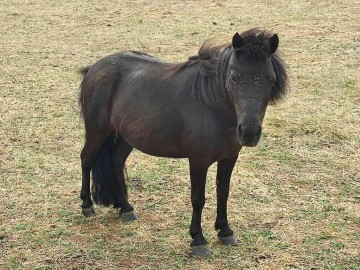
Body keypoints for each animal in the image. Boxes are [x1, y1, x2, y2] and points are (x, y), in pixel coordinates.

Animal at [79, 28, 290, 256]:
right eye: (234, 77)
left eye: (271, 79)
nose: (249, 133)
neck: (211, 105)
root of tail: (94, 68)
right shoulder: (198, 161)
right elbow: (198, 199)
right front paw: (198, 240)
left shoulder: (229, 158)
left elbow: (223, 193)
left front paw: (225, 231)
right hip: (97, 130)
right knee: (86, 159)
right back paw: (87, 206)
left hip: (127, 136)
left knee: (116, 162)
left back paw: (125, 208)